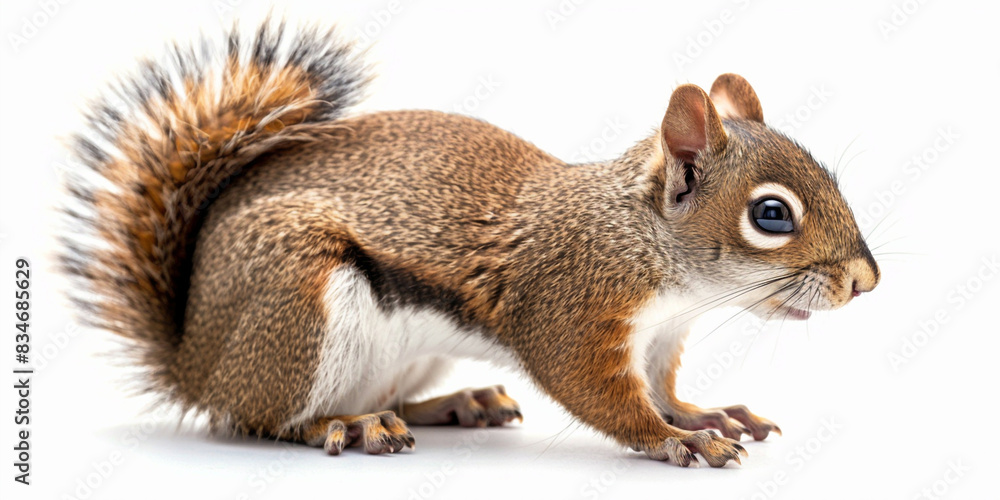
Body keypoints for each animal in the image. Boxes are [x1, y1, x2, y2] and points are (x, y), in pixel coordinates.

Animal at [62, 20, 879, 467]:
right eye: (771, 215)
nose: (865, 283)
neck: (652, 255)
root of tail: (195, 361)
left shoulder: (657, 338)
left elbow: (664, 390)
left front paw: (707, 415)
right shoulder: (570, 310)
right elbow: (606, 397)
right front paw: (678, 441)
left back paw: (458, 403)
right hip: (298, 305)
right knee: (267, 420)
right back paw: (346, 425)